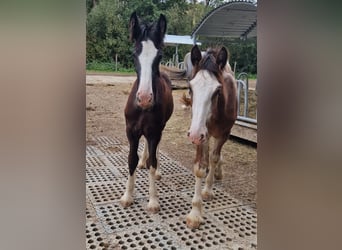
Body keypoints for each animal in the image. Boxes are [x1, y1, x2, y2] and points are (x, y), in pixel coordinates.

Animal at [120, 12, 174, 213]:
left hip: (161, 128)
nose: (144, 98)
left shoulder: (154, 131)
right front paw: (127, 196)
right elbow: (131, 160)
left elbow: (153, 160)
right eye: (134, 54)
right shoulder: (131, 131)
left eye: (159, 56)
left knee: (156, 150)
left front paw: (153, 201)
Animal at [184, 44, 238, 229]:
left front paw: (207, 190)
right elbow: (200, 167)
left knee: (215, 155)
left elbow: (215, 157)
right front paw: (195, 213)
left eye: (217, 90)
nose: (193, 134)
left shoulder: (224, 134)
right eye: (190, 88)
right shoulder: (201, 134)